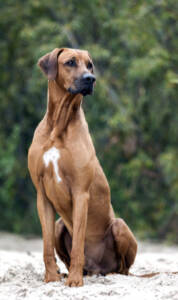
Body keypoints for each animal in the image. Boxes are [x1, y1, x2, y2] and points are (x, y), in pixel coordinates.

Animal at [27, 48, 138, 288]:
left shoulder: (80, 193)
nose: (90, 79)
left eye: (90, 65)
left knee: (123, 268)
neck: (59, 125)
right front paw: (51, 278)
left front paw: (75, 281)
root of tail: (97, 269)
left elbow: (79, 244)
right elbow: (46, 246)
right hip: (59, 225)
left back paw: (100, 274)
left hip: (119, 225)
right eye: (70, 62)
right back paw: (67, 273)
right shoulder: (42, 195)